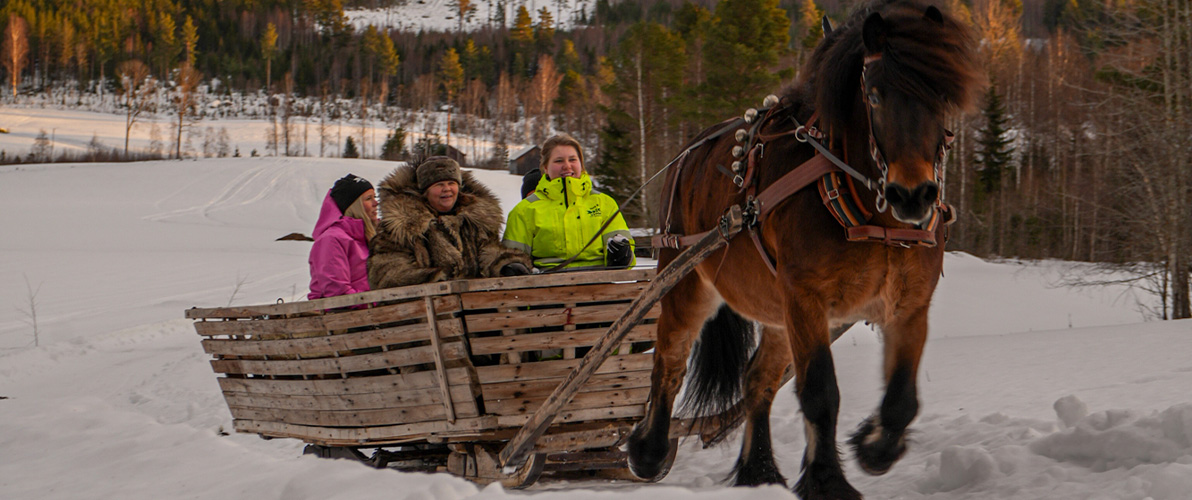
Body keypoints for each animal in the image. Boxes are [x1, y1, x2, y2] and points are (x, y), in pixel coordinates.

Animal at [629, 1, 982, 498]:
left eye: (943, 97)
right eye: (875, 96)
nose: (912, 196)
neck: (871, 217)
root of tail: (687, 154)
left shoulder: (910, 305)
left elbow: (902, 399)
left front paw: (871, 446)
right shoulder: (806, 298)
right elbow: (820, 391)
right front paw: (828, 479)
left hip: (777, 311)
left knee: (757, 380)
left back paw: (758, 470)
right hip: (687, 279)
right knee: (670, 360)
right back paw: (649, 452)